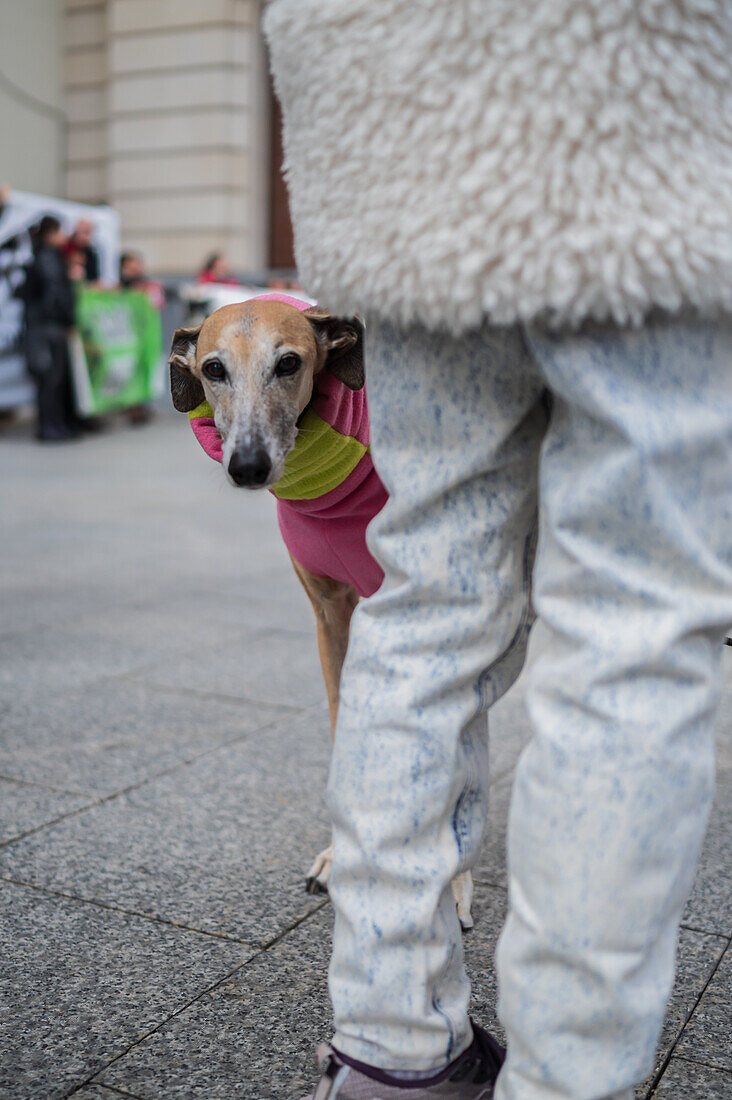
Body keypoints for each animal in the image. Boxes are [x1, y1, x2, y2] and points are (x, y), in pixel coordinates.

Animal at [167, 294, 473, 928]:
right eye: (213, 369)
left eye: (289, 363)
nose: (248, 465)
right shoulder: (333, 617)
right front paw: (343, 857)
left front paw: (452, 881)